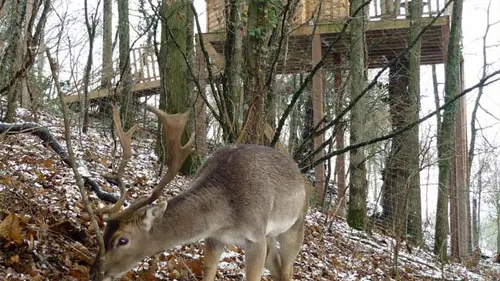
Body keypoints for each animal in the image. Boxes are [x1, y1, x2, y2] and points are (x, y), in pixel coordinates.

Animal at [90, 105, 308, 280]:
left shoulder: (256, 236)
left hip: (295, 226)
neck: (227, 216)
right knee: (278, 268)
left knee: (287, 270)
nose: (94, 273)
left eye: (122, 240)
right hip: (271, 236)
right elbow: (208, 272)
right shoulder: (214, 238)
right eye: (104, 230)